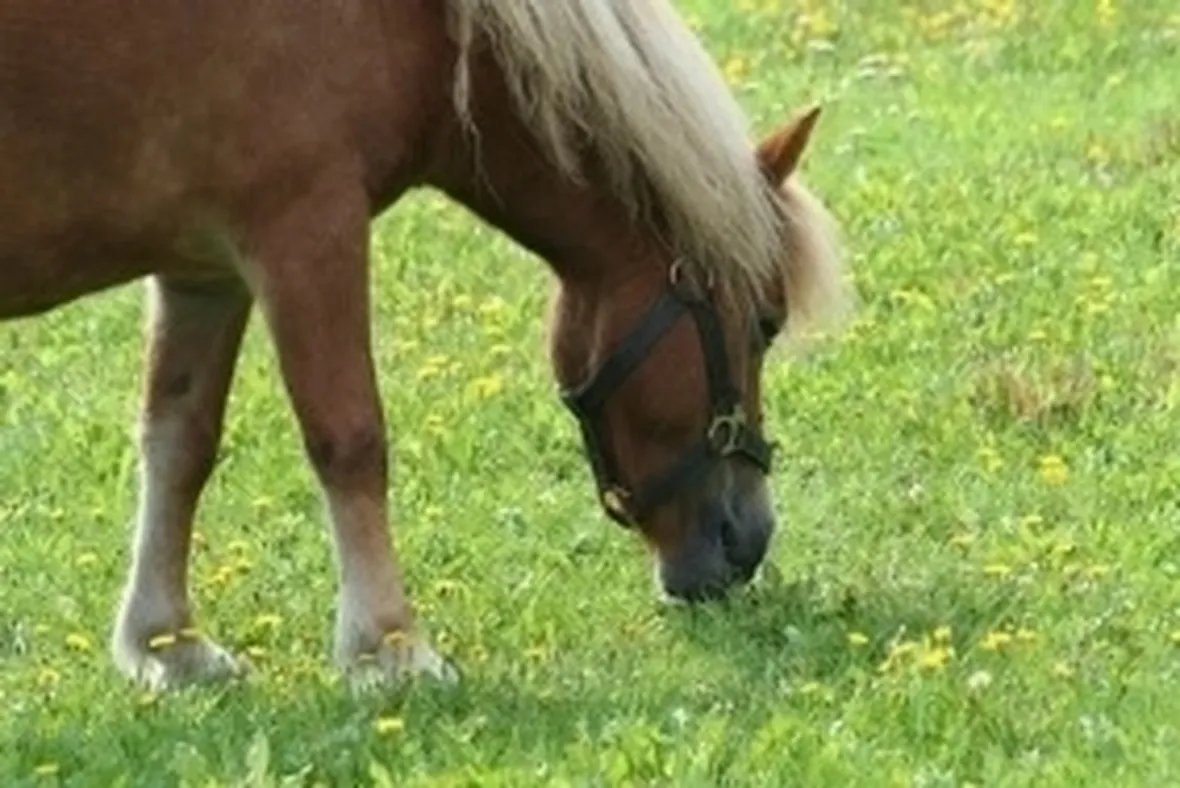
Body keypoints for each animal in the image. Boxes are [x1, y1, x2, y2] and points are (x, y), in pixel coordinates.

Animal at [0, 0, 848, 691]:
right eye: (765, 323)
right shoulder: (308, 231)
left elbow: (179, 445)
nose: (749, 540)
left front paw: (167, 644)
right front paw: (391, 647)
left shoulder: (203, 271)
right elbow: (350, 442)